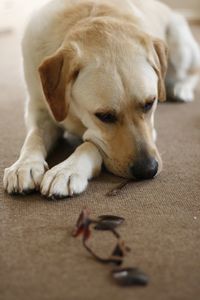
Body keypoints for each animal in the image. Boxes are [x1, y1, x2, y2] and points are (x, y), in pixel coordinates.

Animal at [3, 0, 200, 199]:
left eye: (149, 104)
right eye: (105, 116)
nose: (148, 170)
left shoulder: (150, 131)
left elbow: (91, 145)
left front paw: (67, 170)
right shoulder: (39, 108)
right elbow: (34, 136)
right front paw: (25, 165)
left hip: (180, 50)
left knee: (192, 73)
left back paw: (181, 88)